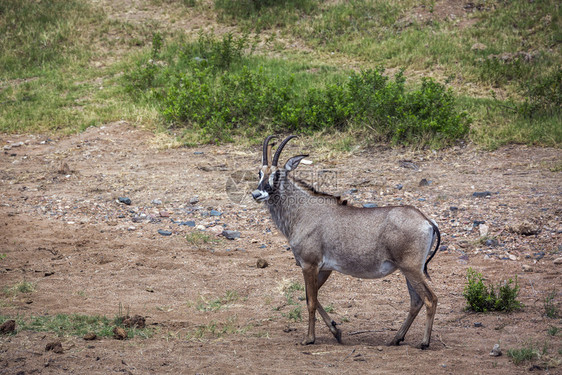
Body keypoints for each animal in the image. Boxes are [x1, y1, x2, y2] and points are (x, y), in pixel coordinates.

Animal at [252, 135, 440, 350]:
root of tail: (427, 221)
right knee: (416, 301)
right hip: (408, 270)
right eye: (260, 172)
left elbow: (311, 301)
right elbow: (313, 297)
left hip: (411, 269)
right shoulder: (324, 269)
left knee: (430, 299)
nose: (257, 194)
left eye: (278, 174)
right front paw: (336, 331)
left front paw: (310, 338)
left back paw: (424, 342)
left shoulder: (309, 265)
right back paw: (395, 339)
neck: (303, 212)